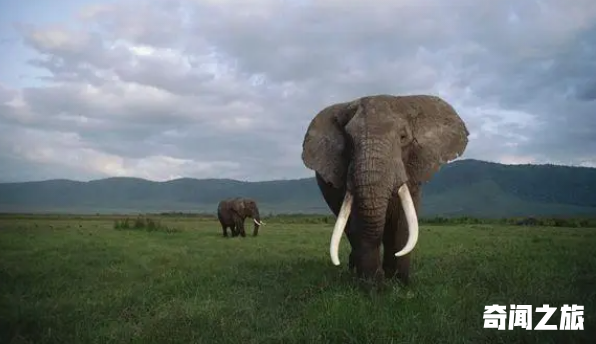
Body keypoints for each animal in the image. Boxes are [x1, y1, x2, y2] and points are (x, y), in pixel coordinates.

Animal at [300, 94, 468, 284]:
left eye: (403, 137)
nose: (380, 277)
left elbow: (404, 222)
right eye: (349, 141)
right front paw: (373, 285)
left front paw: (400, 283)